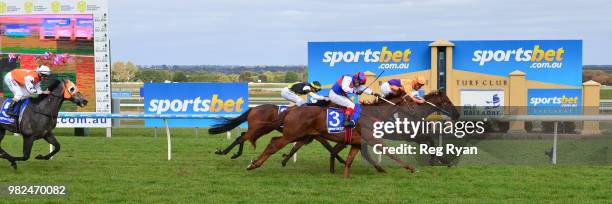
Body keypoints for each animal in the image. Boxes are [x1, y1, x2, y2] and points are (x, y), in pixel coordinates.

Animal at [246, 91, 456, 178]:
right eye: (447, 101)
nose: (458, 114)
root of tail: (292, 109)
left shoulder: (358, 141)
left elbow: (353, 157)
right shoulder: (377, 138)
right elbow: (393, 153)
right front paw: (414, 168)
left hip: (302, 134)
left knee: (281, 142)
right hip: (294, 133)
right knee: (274, 144)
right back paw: (255, 163)